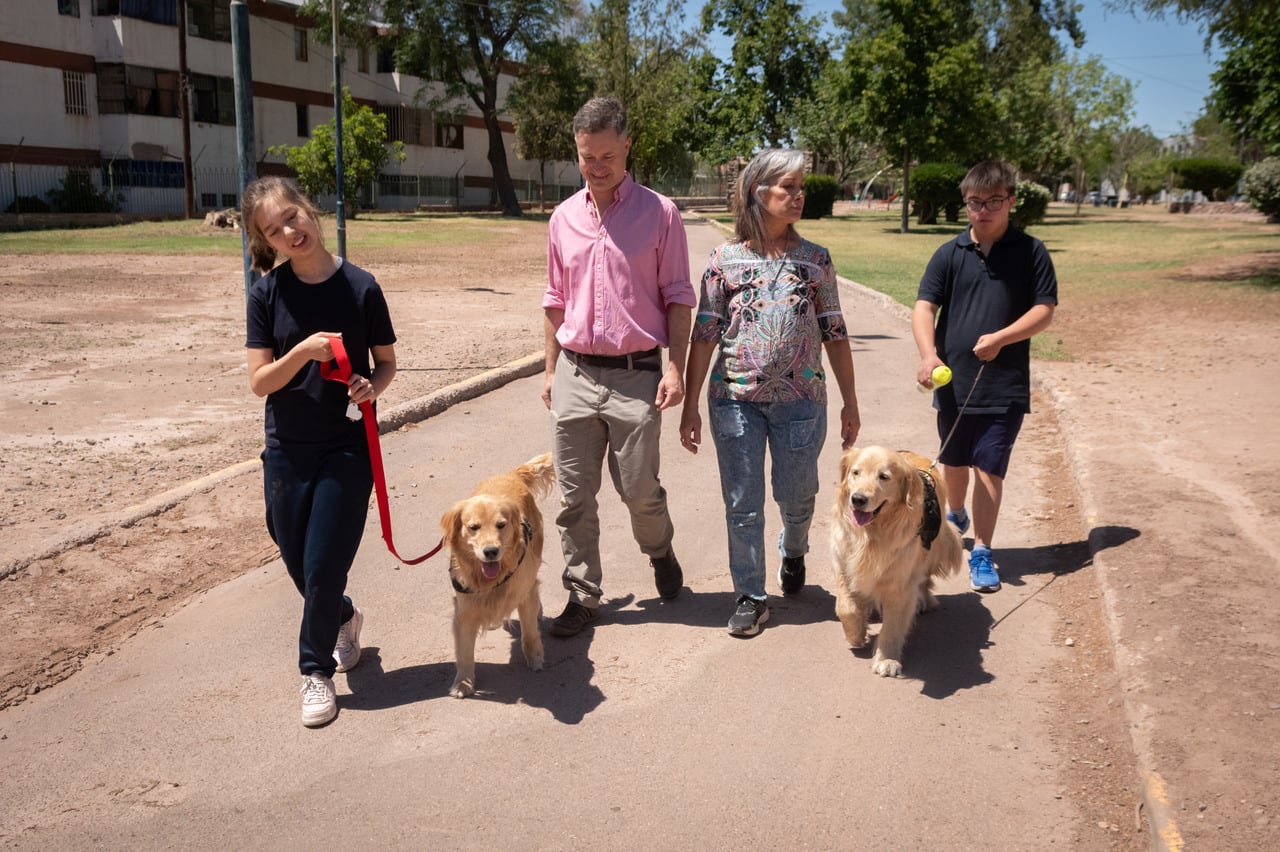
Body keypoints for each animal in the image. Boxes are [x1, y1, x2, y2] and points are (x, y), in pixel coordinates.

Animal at [440, 450, 555, 695]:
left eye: (501, 525)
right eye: (473, 527)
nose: (491, 551)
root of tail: (510, 474)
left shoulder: (524, 594)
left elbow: (530, 631)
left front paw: (535, 658)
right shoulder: (464, 610)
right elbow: (464, 653)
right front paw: (463, 682)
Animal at [829, 445, 962, 675]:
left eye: (884, 477)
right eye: (856, 472)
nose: (858, 499)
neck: (871, 535)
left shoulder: (900, 582)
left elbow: (892, 626)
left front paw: (887, 660)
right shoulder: (844, 563)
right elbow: (846, 608)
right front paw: (855, 634)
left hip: (929, 552)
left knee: (923, 582)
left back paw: (922, 601)